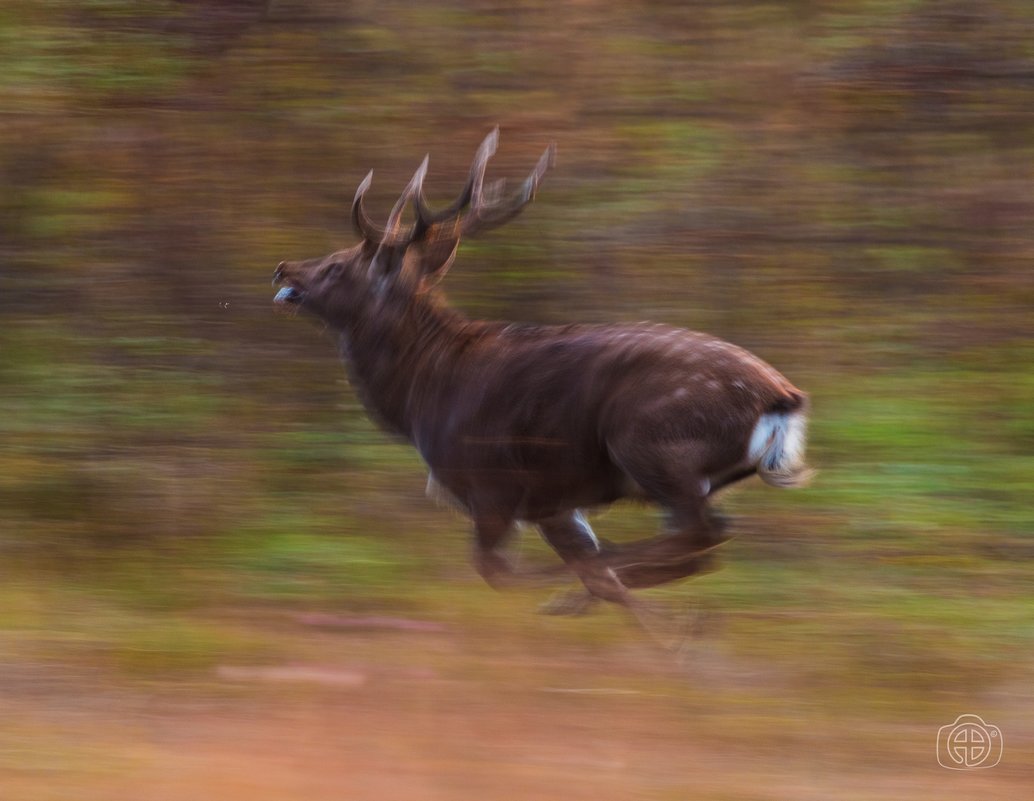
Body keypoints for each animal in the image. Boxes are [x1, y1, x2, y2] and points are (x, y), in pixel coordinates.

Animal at [272, 130, 806, 620]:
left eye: (338, 266)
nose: (284, 269)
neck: (423, 395)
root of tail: (782, 397)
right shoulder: (553, 501)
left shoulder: (491, 482)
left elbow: (497, 570)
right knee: (697, 543)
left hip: (653, 445)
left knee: (700, 534)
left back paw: (583, 591)